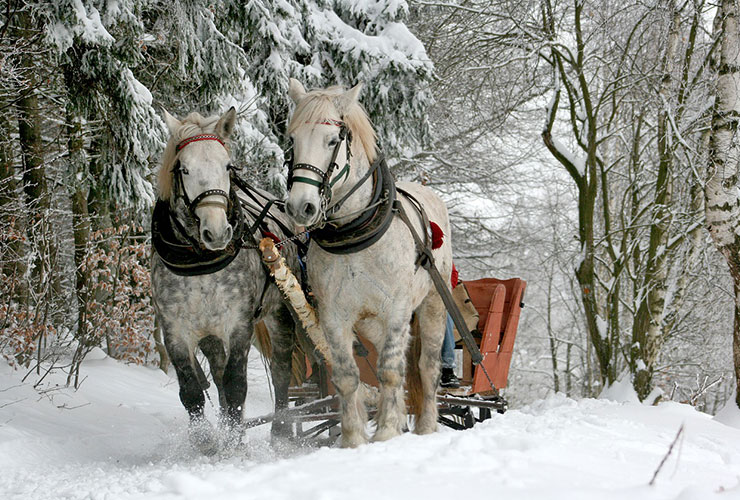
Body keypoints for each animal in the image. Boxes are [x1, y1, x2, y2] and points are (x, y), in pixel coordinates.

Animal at [284, 80, 450, 448]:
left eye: (333, 140)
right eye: (292, 140)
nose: (301, 207)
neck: (355, 232)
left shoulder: (398, 309)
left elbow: (389, 370)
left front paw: (386, 431)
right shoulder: (334, 315)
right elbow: (348, 376)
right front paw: (353, 438)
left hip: (432, 304)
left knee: (426, 366)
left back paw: (426, 426)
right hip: (371, 322)